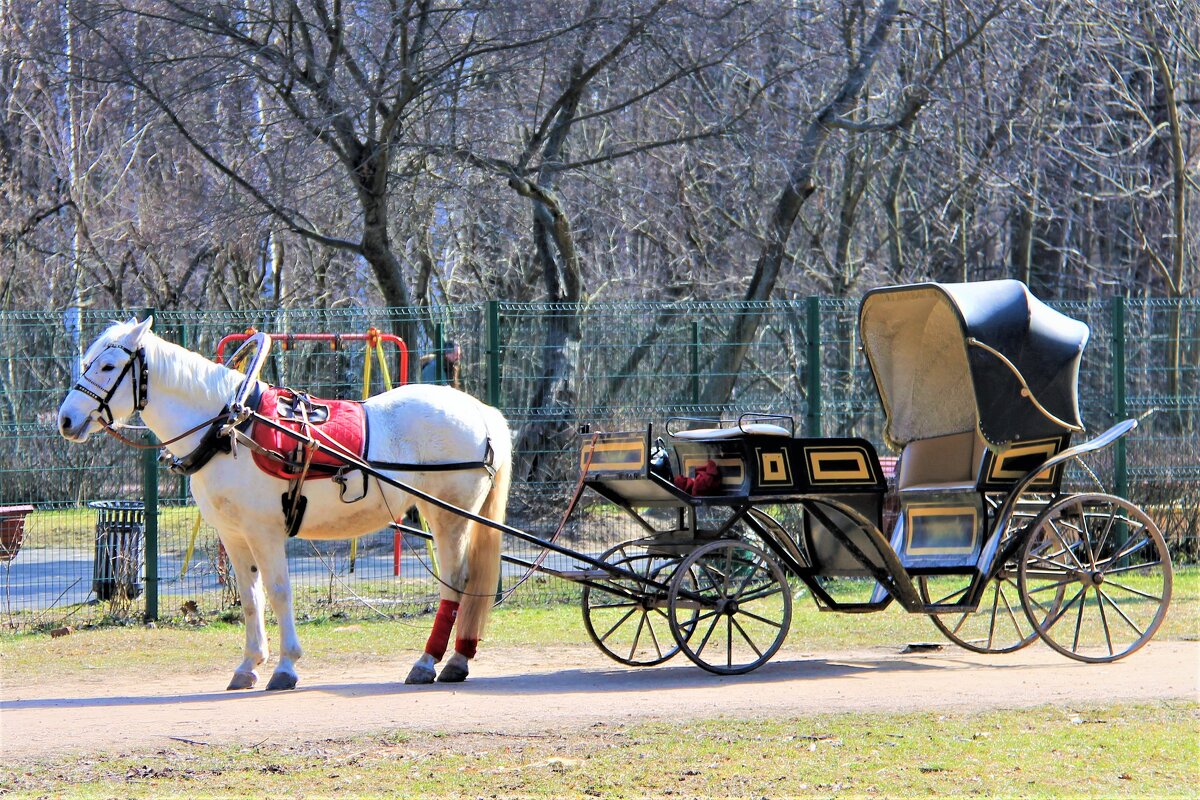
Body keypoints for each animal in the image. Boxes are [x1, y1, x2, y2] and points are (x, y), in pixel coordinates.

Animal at [58, 316, 508, 690]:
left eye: (107, 367)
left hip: (448, 515)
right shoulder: (233, 535)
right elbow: (250, 597)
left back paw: (431, 661)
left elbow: (277, 592)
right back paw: (456, 659)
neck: (231, 427)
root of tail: (479, 410)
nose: (65, 420)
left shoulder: (265, 532)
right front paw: (248, 665)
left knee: (456, 580)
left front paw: (286, 666)